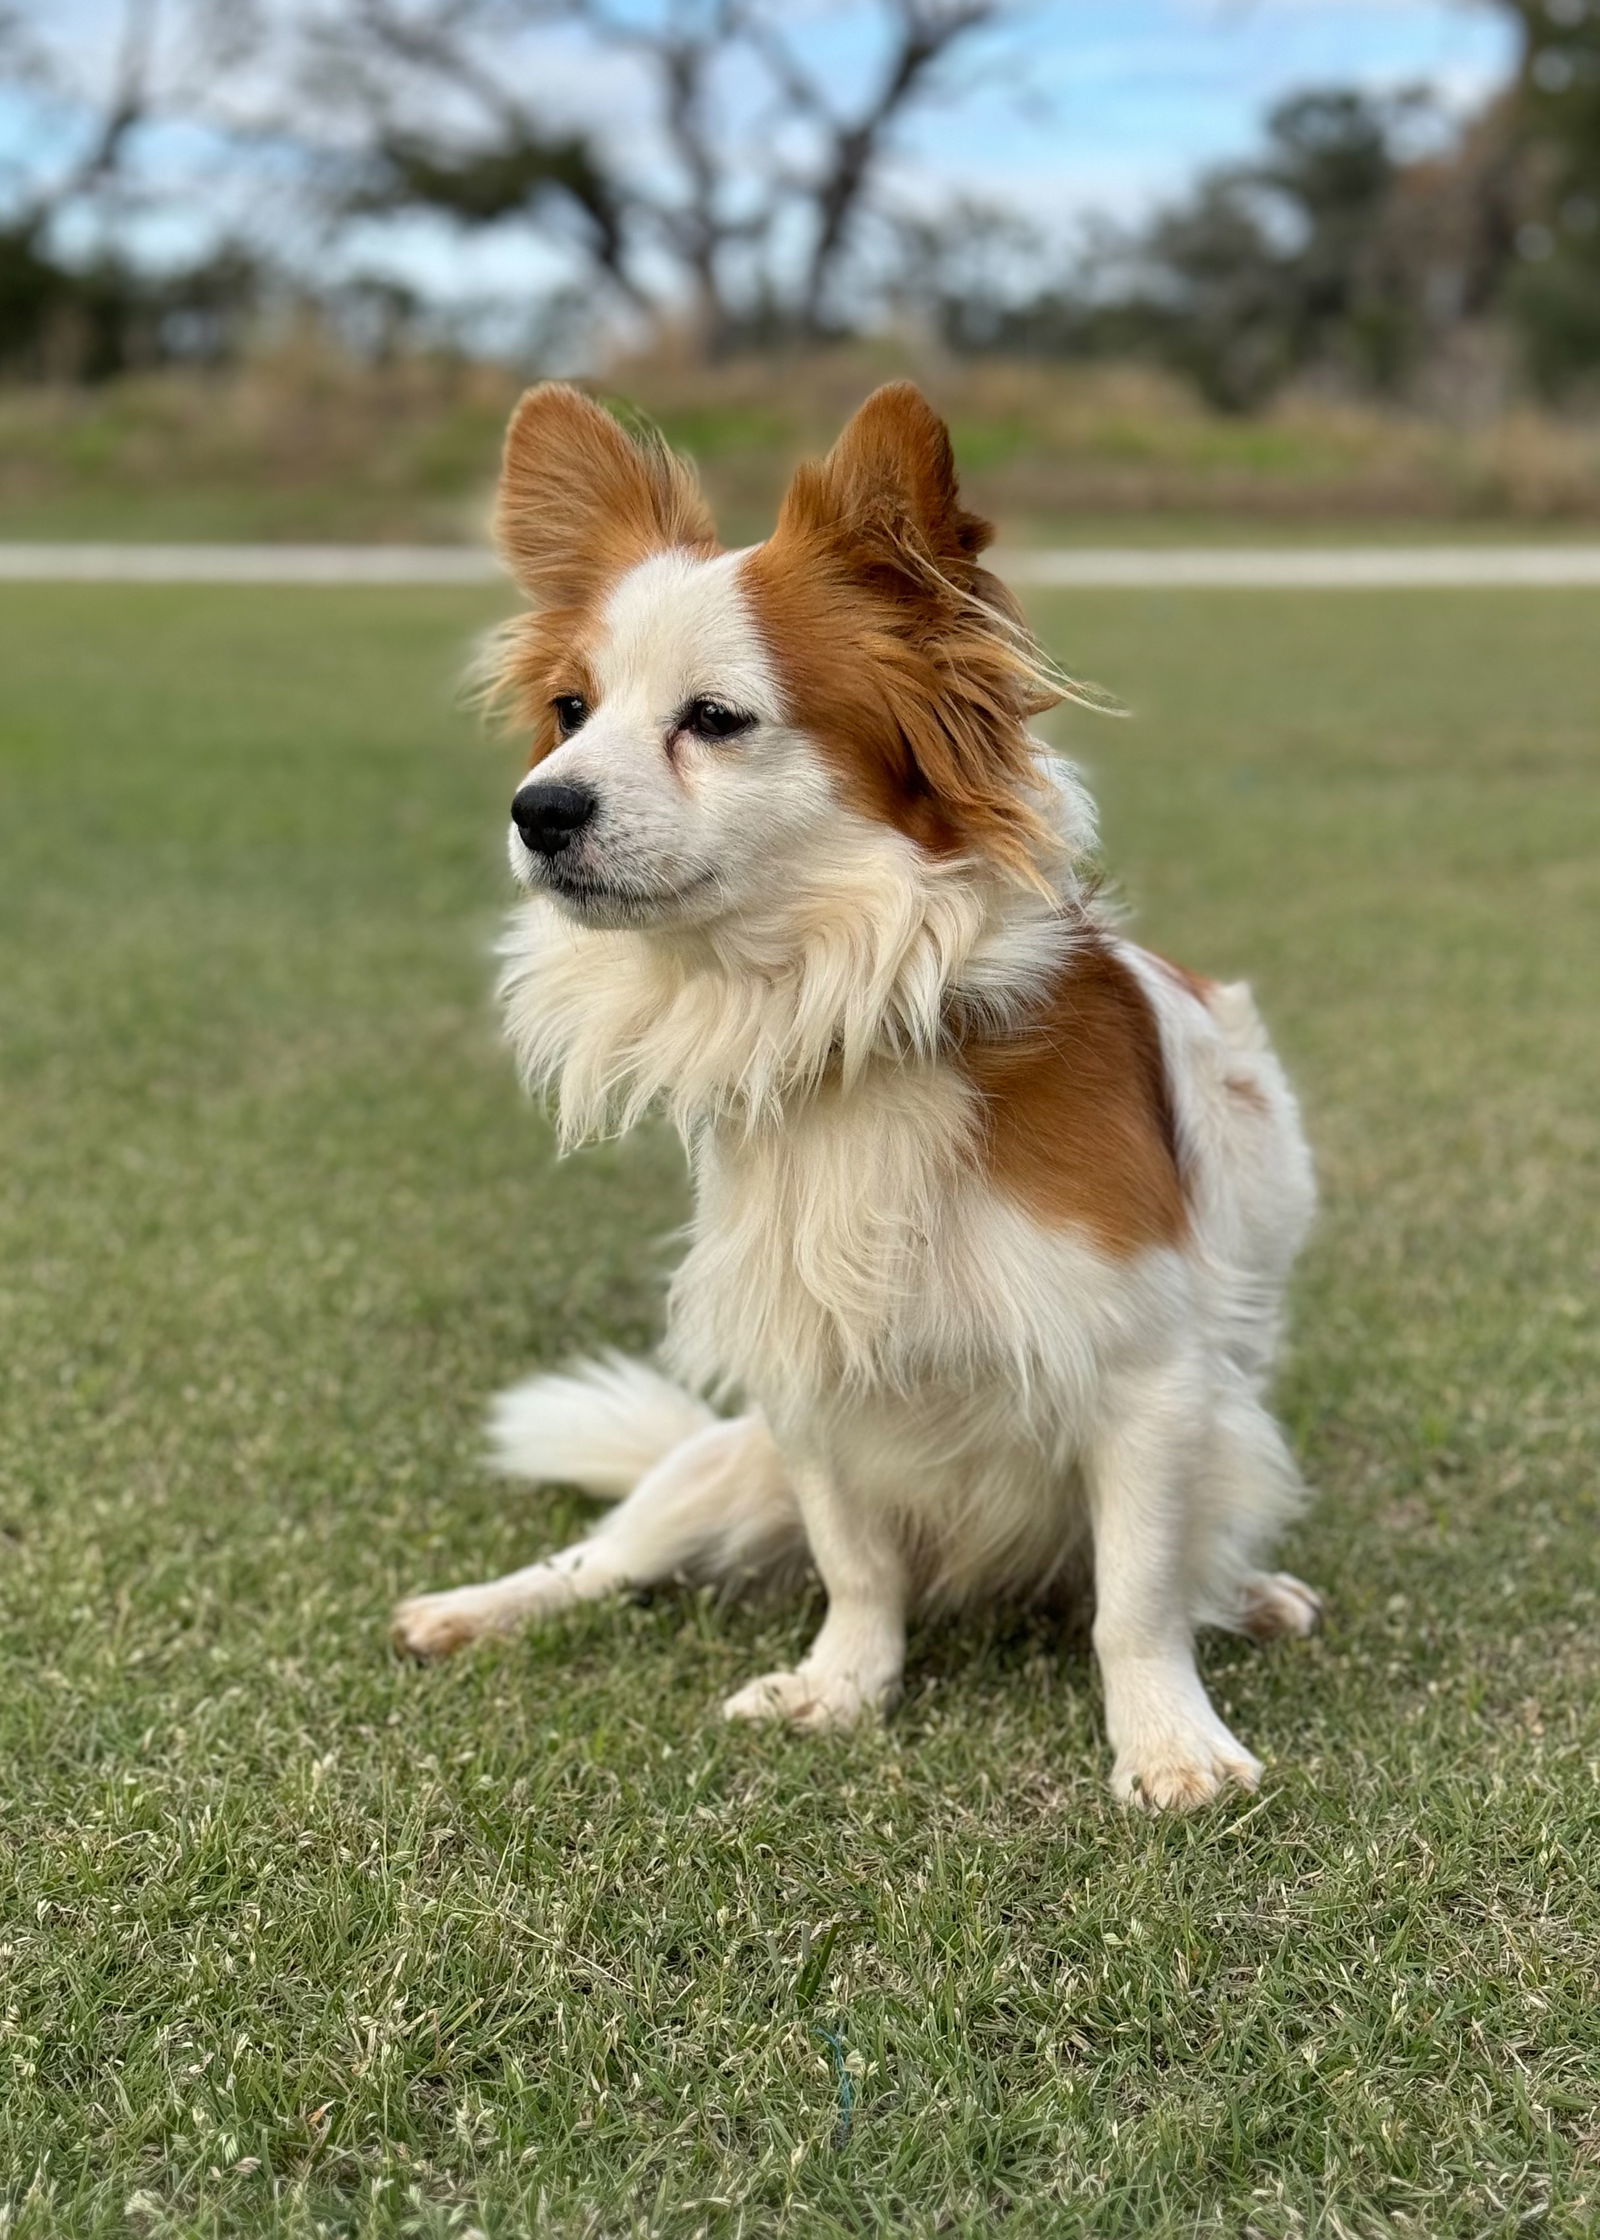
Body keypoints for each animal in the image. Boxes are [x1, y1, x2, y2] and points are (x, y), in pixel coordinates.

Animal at [392, 380, 1317, 1800]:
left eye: (715, 718)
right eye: (569, 710)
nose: (537, 807)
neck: (839, 1007)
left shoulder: (1149, 1381)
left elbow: (1134, 1597)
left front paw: (1167, 1741)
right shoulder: (806, 1366)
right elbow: (857, 1560)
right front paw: (843, 1686)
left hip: (1228, 1446)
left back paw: (1251, 1594)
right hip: (720, 1463)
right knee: (604, 1554)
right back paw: (472, 1607)